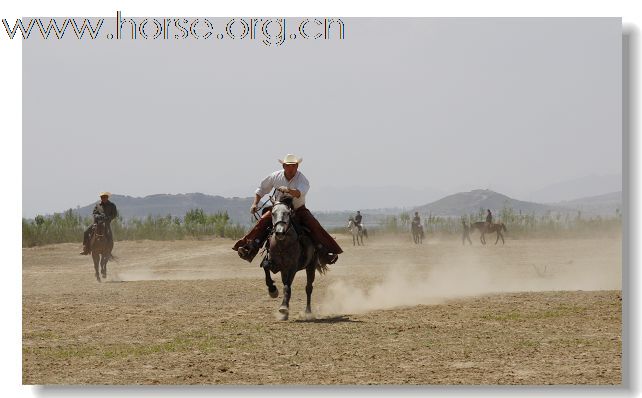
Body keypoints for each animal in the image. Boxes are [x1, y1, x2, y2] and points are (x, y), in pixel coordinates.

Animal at [262, 194, 328, 322]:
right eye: (272, 213)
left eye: (288, 213)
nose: (279, 232)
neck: (282, 244)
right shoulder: (275, 264)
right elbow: (266, 266)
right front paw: (273, 290)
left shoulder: (292, 267)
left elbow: (287, 287)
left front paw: (283, 308)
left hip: (311, 266)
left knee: (308, 288)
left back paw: (307, 312)